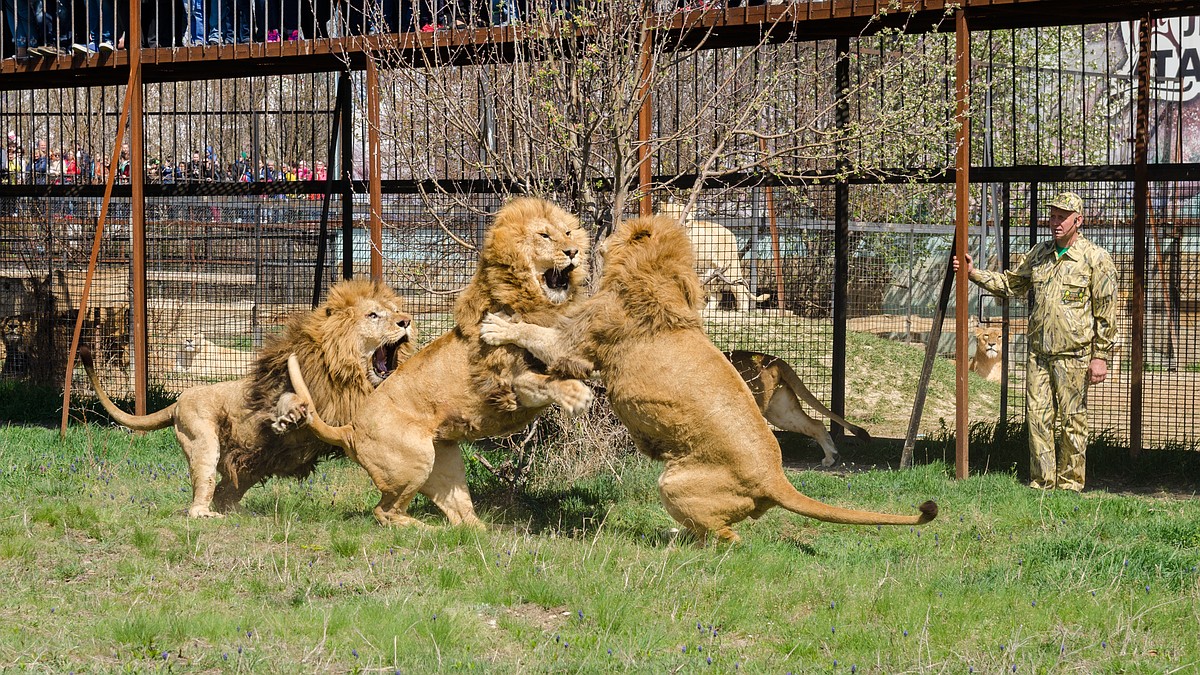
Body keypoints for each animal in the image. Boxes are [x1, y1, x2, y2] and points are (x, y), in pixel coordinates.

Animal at [78, 278, 417, 514]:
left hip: (249, 464)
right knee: (201, 493)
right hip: (203, 441)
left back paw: (237, 511)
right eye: (373, 315)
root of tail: (177, 401)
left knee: (226, 489)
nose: (407, 320)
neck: (347, 377)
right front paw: (290, 416)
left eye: (395, 311)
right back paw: (207, 515)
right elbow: (288, 402)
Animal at [286, 196, 595, 528]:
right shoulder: (510, 384)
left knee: (459, 519)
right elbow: (545, 380)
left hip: (445, 466)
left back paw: (483, 532)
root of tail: (350, 429)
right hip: (415, 461)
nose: (573, 251)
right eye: (545, 235)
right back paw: (422, 529)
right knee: (384, 511)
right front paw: (576, 394)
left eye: (568, 232)